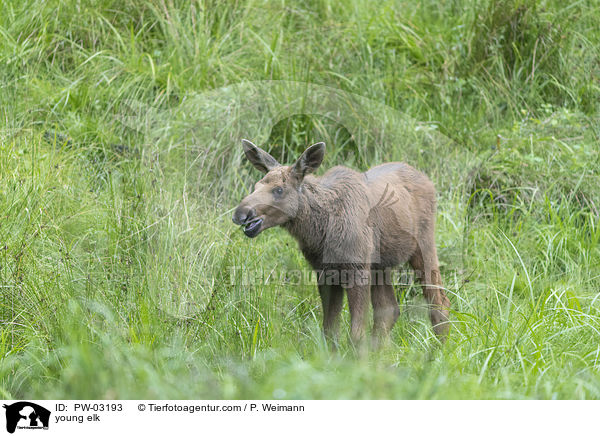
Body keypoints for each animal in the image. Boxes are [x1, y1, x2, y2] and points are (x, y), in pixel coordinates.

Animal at [233, 138, 450, 350]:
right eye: (256, 186)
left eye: (279, 190)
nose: (241, 214)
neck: (319, 230)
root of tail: (427, 180)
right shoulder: (324, 272)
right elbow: (329, 332)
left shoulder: (357, 268)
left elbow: (356, 334)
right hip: (381, 264)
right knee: (389, 309)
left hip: (424, 246)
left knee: (439, 302)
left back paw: (439, 350)